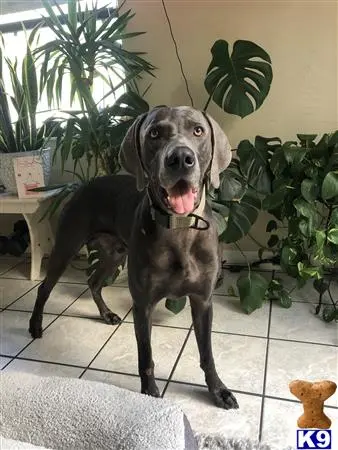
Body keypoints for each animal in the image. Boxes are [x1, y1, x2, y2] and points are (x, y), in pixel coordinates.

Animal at [30, 107, 239, 410]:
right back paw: (35, 325)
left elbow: (207, 354)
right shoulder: (143, 304)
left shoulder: (202, 301)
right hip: (67, 245)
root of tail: (83, 184)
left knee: (94, 281)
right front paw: (150, 394)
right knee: (45, 287)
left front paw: (218, 390)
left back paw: (106, 314)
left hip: (115, 253)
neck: (179, 228)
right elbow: (146, 357)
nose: (180, 159)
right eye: (154, 133)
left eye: (198, 130)